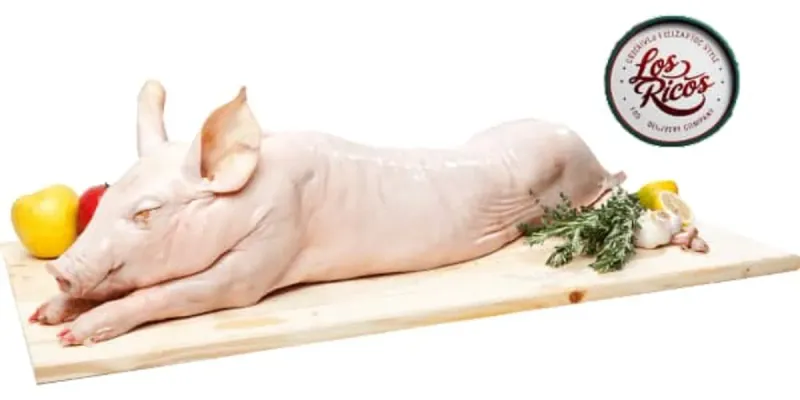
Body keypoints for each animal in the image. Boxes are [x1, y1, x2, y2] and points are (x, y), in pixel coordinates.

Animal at [29, 80, 627, 346]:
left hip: (582, 182)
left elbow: (193, 291)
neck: (254, 191)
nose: (61, 268)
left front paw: (73, 337)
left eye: (146, 213)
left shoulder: (271, 243)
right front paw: (44, 317)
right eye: (106, 201)